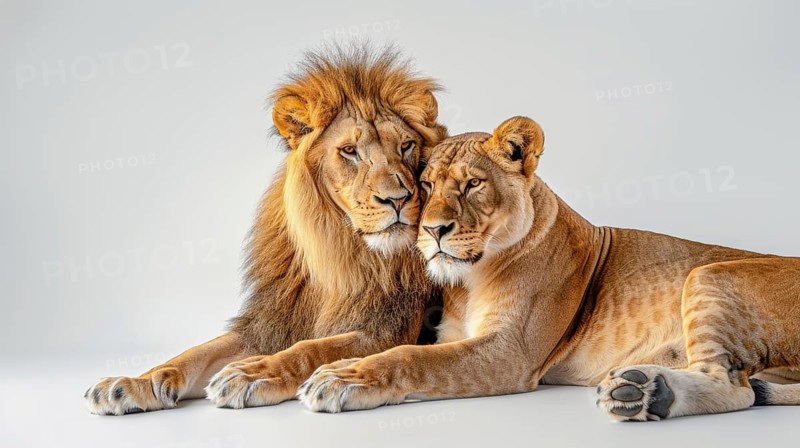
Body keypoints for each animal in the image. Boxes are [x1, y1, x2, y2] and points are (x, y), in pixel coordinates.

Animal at [84, 46, 447, 415]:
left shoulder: (387, 332)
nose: (398, 199)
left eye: (405, 146)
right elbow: (194, 353)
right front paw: (131, 383)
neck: (337, 248)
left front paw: (254, 373)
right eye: (349, 151)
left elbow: (310, 348)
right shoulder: (269, 324)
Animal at [298, 116, 800, 421]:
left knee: (737, 389)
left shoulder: (510, 354)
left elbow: (410, 357)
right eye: (425, 185)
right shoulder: (451, 335)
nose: (435, 230)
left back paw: (644, 393)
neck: (469, 280)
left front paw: (341, 379)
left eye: (473, 184)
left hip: (708, 274)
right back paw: (645, 391)